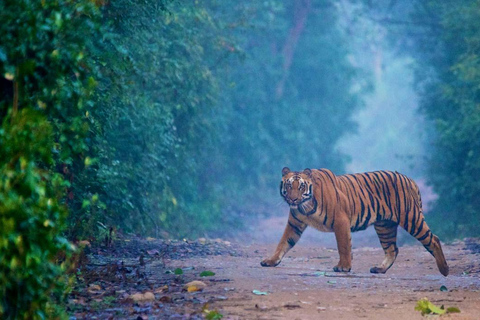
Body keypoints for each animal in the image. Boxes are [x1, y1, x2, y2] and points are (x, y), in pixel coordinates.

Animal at [260, 168, 448, 276]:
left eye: (301, 186)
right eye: (289, 185)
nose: (292, 199)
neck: (305, 206)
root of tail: (410, 179)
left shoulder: (341, 221)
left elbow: (343, 245)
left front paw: (343, 267)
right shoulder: (295, 224)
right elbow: (283, 243)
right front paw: (270, 261)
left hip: (411, 218)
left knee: (434, 239)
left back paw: (444, 270)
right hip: (384, 226)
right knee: (392, 249)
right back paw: (379, 269)